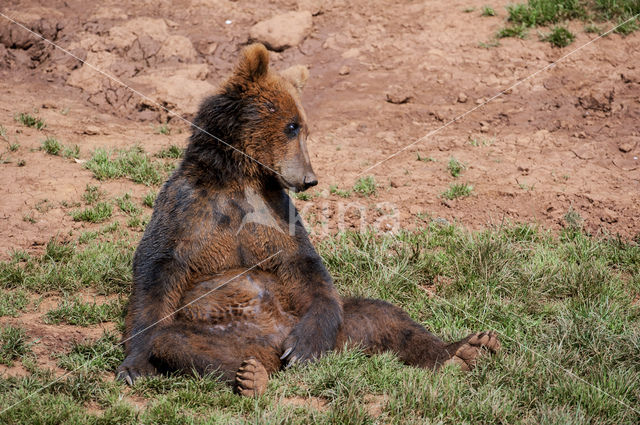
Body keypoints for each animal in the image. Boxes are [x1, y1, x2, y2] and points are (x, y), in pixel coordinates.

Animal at [117, 44, 502, 394]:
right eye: (291, 126)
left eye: (305, 128)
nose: (309, 179)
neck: (239, 179)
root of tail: (271, 344)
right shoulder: (187, 206)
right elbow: (156, 274)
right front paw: (134, 366)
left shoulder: (275, 212)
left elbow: (305, 266)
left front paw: (302, 347)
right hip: (223, 334)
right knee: (175, 342)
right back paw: (251, 378)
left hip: (336, 327)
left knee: (383, 316)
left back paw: (468, 350)